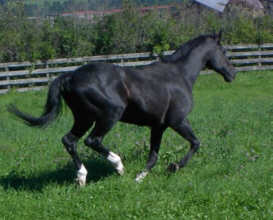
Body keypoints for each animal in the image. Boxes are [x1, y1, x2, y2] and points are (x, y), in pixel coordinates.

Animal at [7, 31, 235, 186]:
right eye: (224, 51)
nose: (232, 73)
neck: (180, 75)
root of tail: (70, 76)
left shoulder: (158, 126)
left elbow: (153, 155)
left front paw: (140, 177)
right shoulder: (177, 121)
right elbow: (195, 143)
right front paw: (173, 167)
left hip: (83, 118)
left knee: (69, 140)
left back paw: (82, 178)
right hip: (109, 114)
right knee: (92, 140)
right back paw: (118, 166)